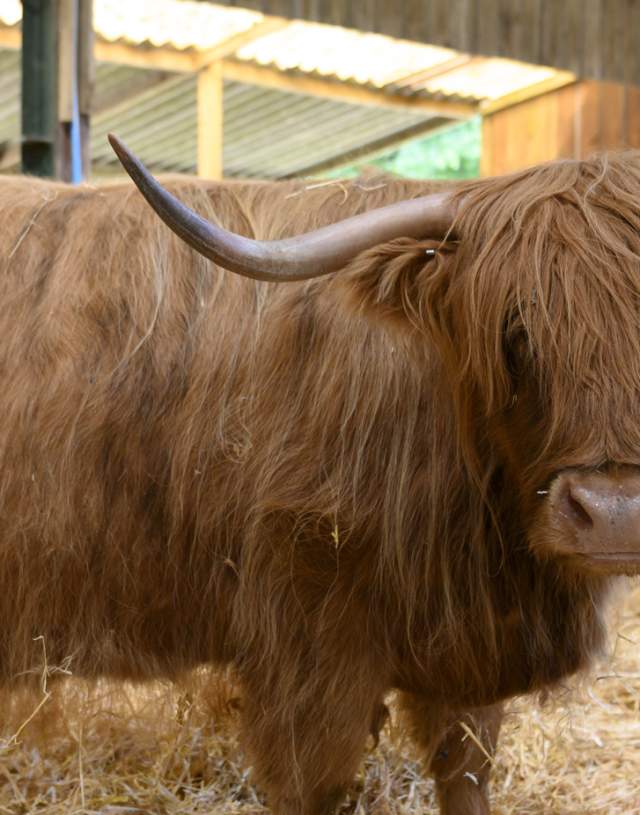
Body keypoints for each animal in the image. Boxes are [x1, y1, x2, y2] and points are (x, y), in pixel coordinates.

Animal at [1, 137, 640, 812]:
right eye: (515, 332)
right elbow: (315, 782)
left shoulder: (461, 644)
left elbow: (466, 767)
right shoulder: (309, 641)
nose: (616, 513)